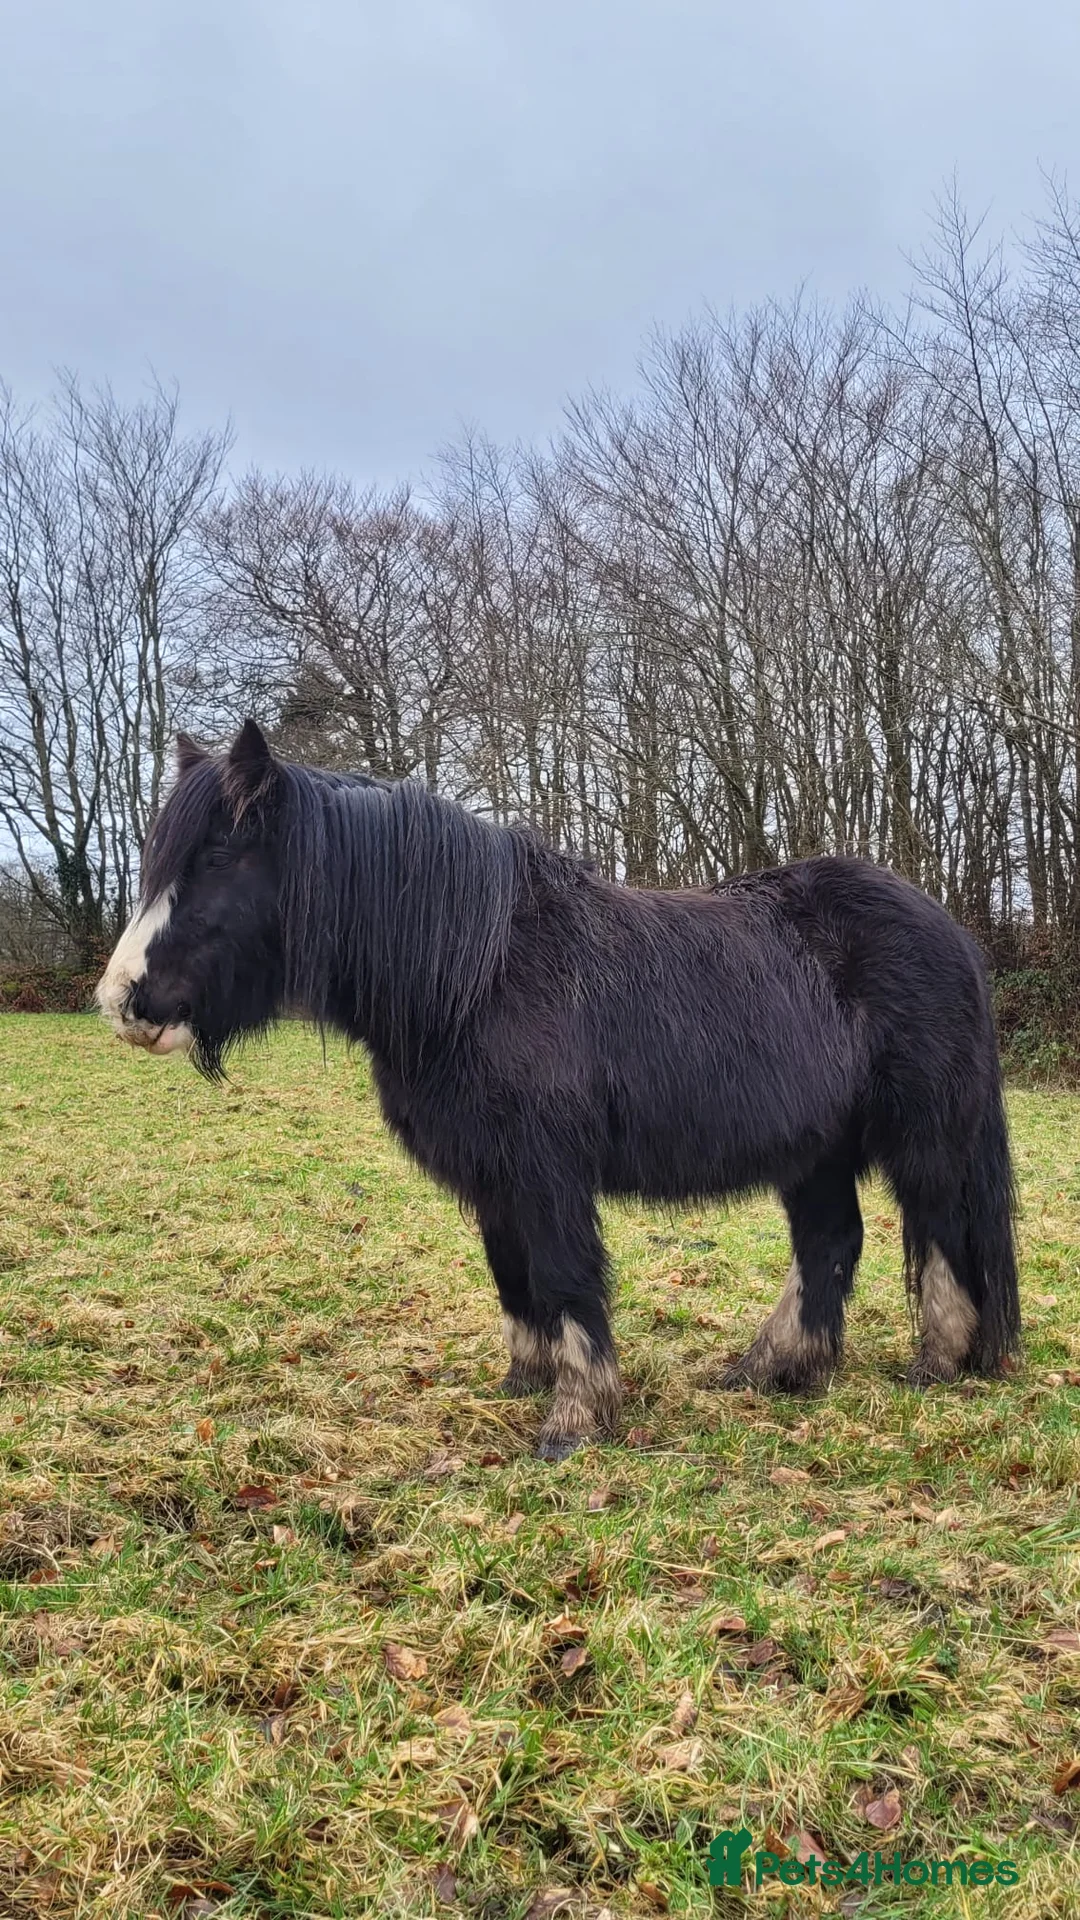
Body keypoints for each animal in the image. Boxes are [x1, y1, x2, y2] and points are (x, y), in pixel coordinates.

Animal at [96, 721, 1021, 1459]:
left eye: (219, 856)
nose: (122, 1000)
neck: (476, 974)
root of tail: (949, 930)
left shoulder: (545, 1172)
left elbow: (567, 1276)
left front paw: (576, 1419)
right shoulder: (490, 1178)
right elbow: (513, 1279)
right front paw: (524, 1381)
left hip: (922, 1142)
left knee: (940, 1235)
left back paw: (935, 1365)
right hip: (815, 1153)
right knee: (830, 1244)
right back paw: (775, 1370)